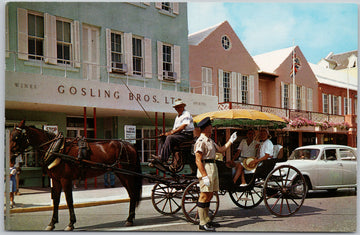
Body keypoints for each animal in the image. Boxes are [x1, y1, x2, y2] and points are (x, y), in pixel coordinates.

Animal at [10, 120, 142, 230]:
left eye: (16, 137)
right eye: (10, 135)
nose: (11, 158)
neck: (56, 149)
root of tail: (130, 145)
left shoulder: (65, 179)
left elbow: (69, 200)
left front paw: (71, 223)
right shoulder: (56, 180)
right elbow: (56, 200)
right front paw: (52, 223)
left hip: (126, 174)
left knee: (132, 193)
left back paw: (130, 219)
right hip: (122, 174)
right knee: (132, 194)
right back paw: (130, 218)